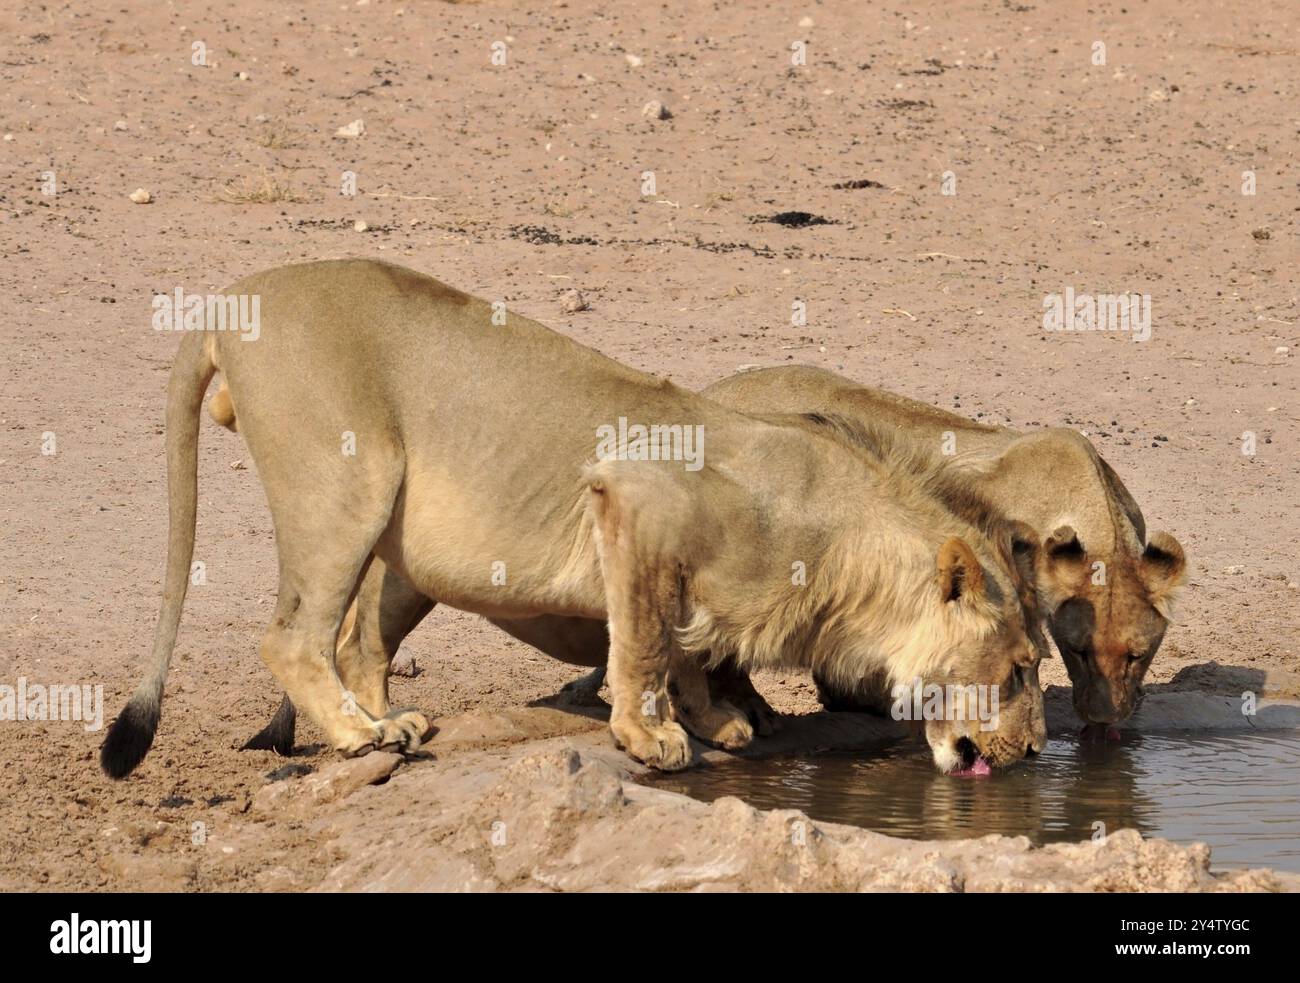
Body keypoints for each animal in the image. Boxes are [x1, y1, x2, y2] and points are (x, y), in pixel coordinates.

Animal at [106, 258, 1050, 774]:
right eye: (1016, 671)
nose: (1038, 752)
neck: (846, 554)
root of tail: (232, 300)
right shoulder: (631, 498)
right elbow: (644, 643)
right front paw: (649, 735)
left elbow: (689, 648)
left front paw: (717, 722)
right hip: (350, 483)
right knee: (294, 638)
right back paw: (357, 736)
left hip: (403, 542)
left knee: (358, 638)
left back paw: (389, 720)